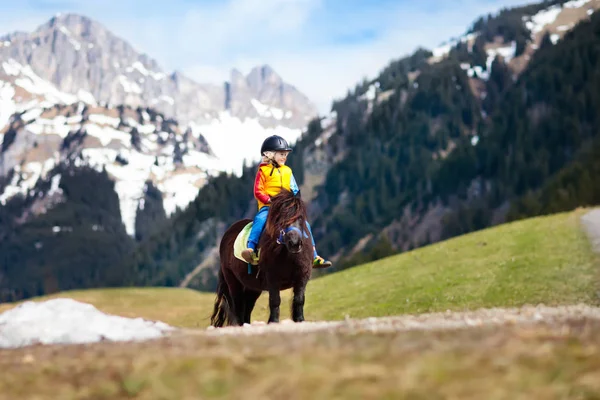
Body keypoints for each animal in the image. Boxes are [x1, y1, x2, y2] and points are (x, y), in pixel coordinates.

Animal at [211, 190, 314, 324]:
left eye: (300, 217)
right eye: (281, 218)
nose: (295, 243)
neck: (288, 255)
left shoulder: (302, 277)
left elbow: (299, 300)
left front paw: (300, 320)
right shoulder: (272, 278)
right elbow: (275, 301)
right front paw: (273, 321)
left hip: (252, 287)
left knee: (247, 308)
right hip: (232, 281)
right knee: (237, 305)